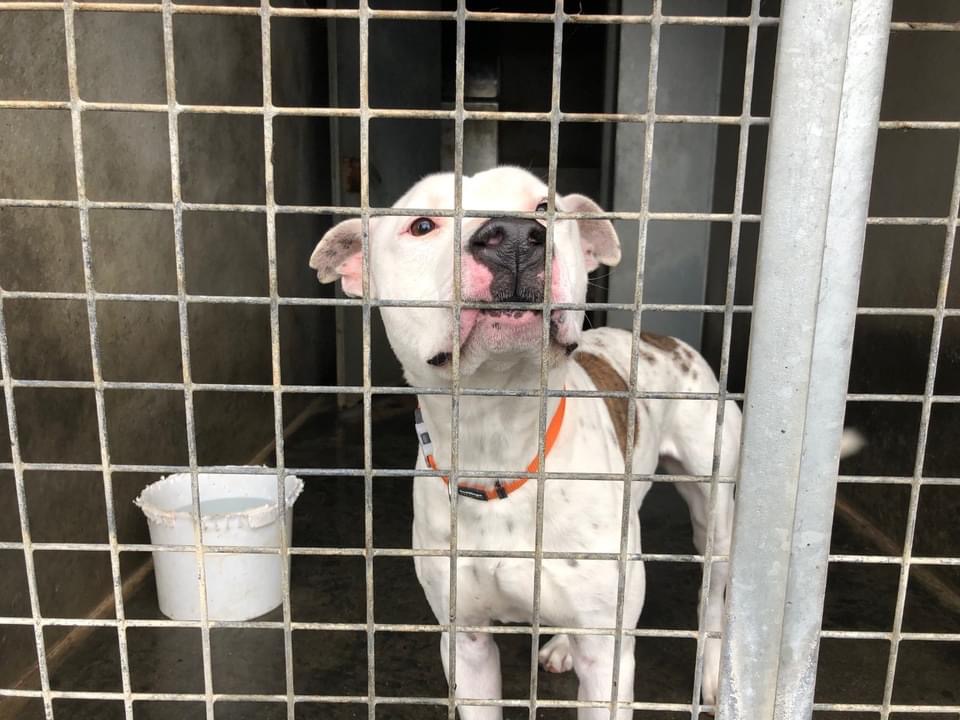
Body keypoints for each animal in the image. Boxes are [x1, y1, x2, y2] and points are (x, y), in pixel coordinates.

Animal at [312, 167, 740, 716]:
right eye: (423, 224)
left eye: (544, 207)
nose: (514, 238)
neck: (497, 439)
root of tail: (665, 340)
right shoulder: (466, 643)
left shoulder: (608, 653)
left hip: (714, 512)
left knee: (713, 596)